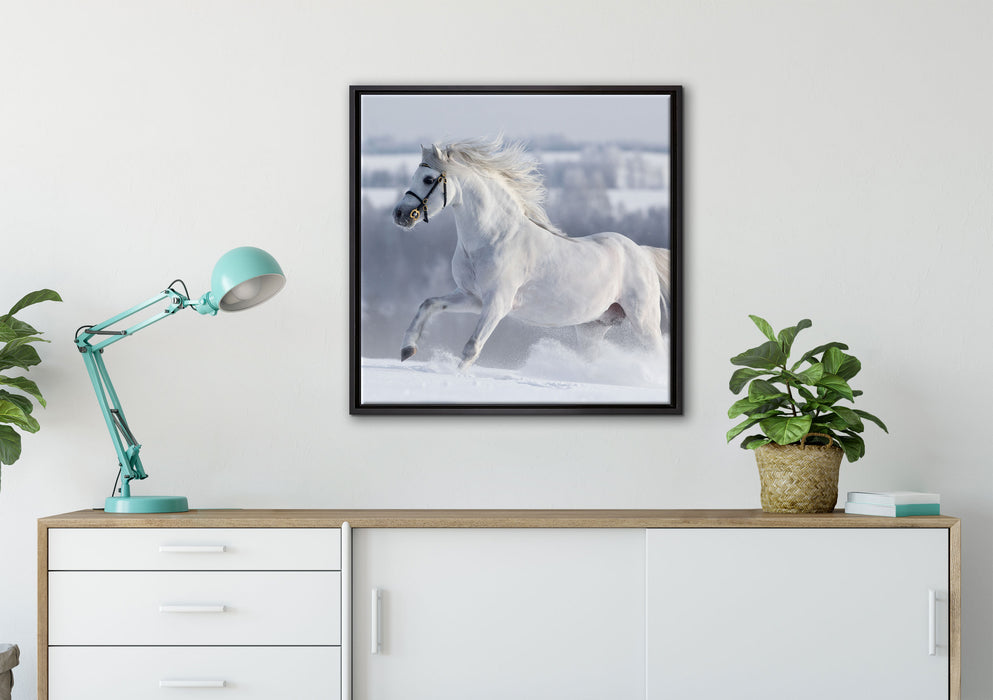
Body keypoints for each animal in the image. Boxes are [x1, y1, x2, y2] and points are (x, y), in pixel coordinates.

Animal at [391, 137, 671, 371]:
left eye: (428, 179)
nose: (400, 214)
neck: (493, 238)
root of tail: (642, 254)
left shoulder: (498, 303)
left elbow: (472, 347)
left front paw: (454, 377)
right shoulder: (473, 297)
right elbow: (429, 303)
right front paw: (407, 350)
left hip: (644, 322)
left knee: (656, 354)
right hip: (592, 327)